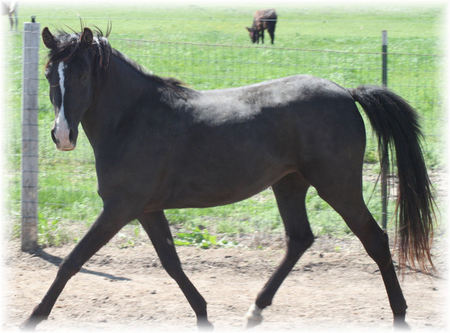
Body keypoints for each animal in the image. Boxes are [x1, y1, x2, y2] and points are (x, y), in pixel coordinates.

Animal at [22, 26, 436, 330]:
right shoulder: (147, 209)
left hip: (338, 185)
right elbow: (172, 263)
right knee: (300, 239)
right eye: (49, 74)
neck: (133, 118)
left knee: (376, 240)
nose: (62, 135)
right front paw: (204, 314)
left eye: (81, 73)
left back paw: (400, 314)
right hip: (289, 184)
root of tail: (346, 93)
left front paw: (33, 317)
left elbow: (72, 262)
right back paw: (255, 310)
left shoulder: (119, 208)